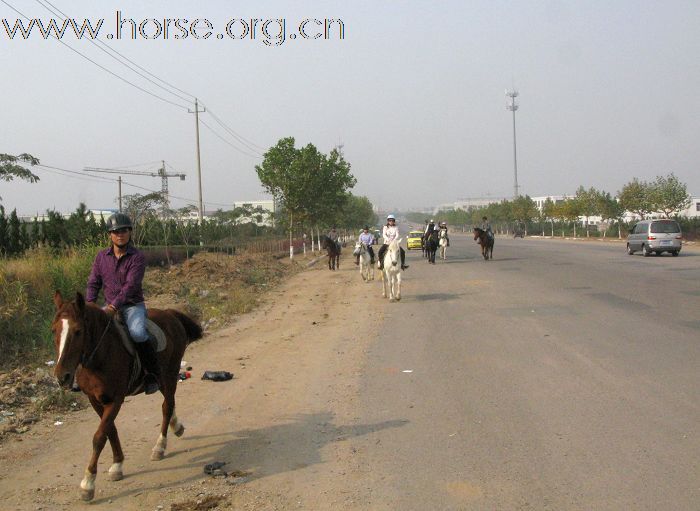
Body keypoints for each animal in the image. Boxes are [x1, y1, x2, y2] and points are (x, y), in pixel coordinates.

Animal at [49, 290, 201, 502]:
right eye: (53, 330)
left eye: (78, 331)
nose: (62, 377)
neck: (101, 356)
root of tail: (170, 313)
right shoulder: (95, 400)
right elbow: (110, 431)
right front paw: (117, 465)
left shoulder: (116, 400)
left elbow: (99, 436)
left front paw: (88, 483)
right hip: (163, 379)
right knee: (169, 403)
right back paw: (176, 426)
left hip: (170, 374)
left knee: (167, 406)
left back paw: (160, 446)